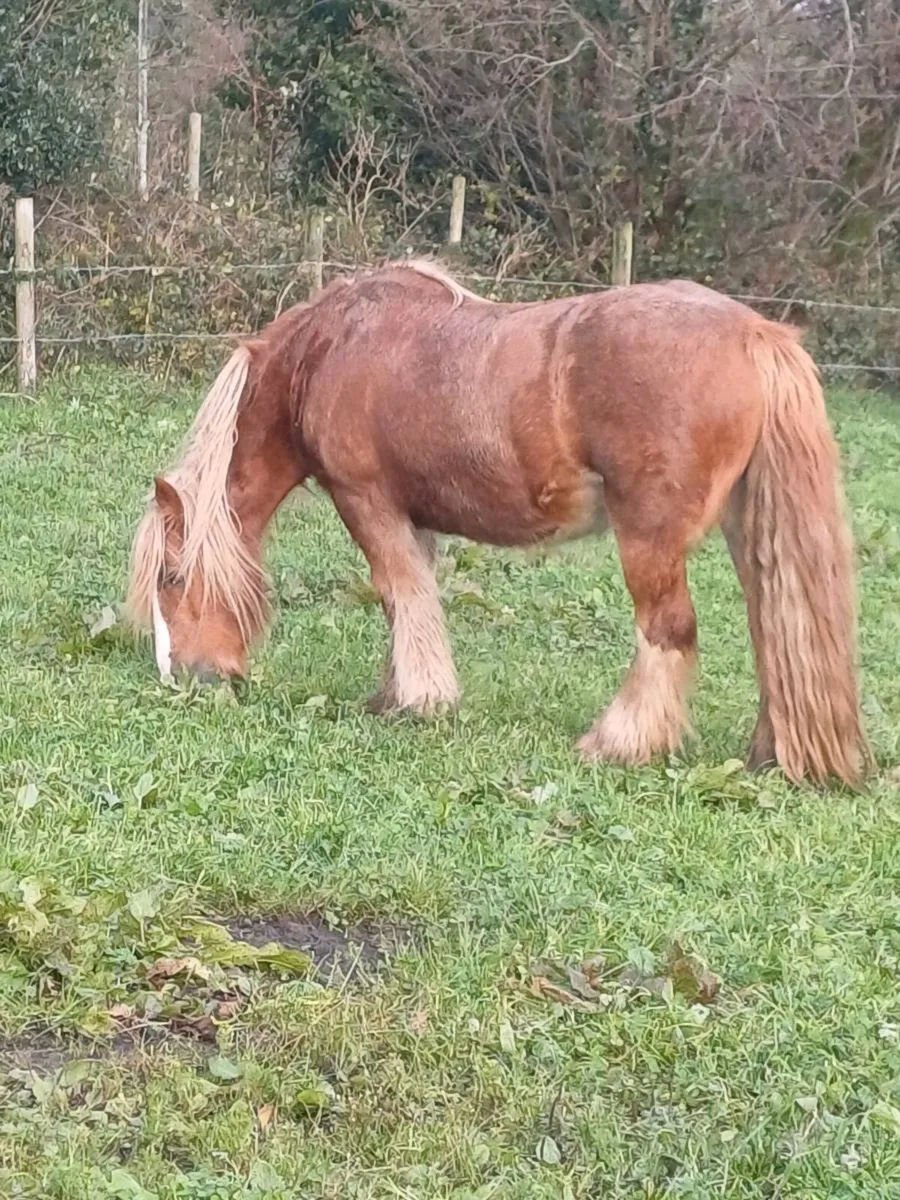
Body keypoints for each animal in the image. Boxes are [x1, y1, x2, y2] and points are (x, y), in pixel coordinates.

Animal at [127, 258, 870, 787]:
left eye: (172, 577)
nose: (183, 677)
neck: (329, 353)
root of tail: (756, 335)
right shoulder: (412, 517)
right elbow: (413, 604)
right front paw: (397, 693)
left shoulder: (367, 502)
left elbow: (401, 594)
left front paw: (421, 702)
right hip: (751, 532)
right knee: (777, 627)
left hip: (651, 539)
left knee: (669, 632)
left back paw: (616, 743)